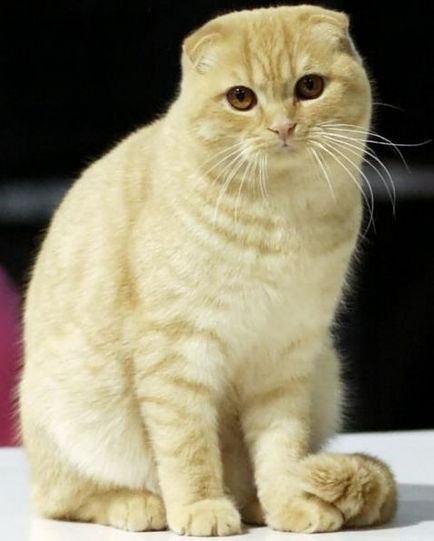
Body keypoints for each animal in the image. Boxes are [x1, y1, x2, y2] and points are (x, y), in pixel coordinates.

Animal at [19, 5, 396, 536]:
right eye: (241, 98)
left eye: (310, 87)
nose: (283, 127)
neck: (278, 218)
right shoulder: (177, 354)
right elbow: (189, 449)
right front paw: (202, 508)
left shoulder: (286, 360)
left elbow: (281, 449)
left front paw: (287, 503)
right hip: (77, 415)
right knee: (65, 498)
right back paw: (139, 505)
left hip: (325, 375)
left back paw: (254, 503)